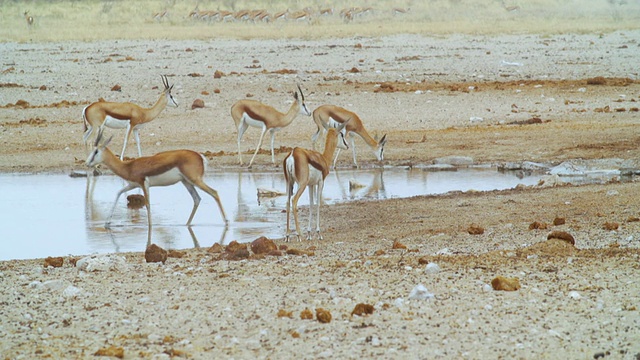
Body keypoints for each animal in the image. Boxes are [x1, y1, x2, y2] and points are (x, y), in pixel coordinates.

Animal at [86, 129, 229, 245]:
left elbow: (148, 204)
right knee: (197, 199)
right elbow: (118, 193)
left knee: (214, 193)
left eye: (96, 151)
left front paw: (150, 227)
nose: (87, 163)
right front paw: (107, 223)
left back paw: (226, 221)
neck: (128, 166)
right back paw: (187, 224)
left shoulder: (144, 184)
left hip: (194, 180)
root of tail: (200, 156)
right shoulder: (132, 185)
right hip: (186, 182)